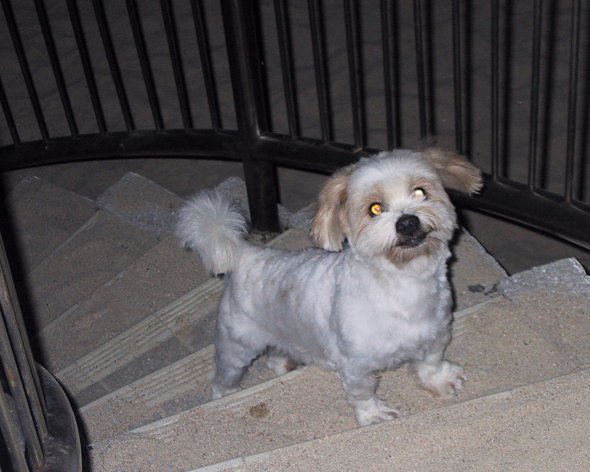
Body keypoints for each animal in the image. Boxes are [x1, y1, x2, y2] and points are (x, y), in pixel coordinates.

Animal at [176, 148, 482, 425]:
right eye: (375, 209)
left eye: (420, 193)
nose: (407, 222)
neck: (403, 284)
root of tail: (246, 254)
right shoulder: (356, 366)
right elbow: (362, 394)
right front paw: (373, 415)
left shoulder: (436, 333)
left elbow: (431, 362)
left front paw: (439, 379)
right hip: (236, 347)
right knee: (224, 376)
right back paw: (226, 395)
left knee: (275, 350)